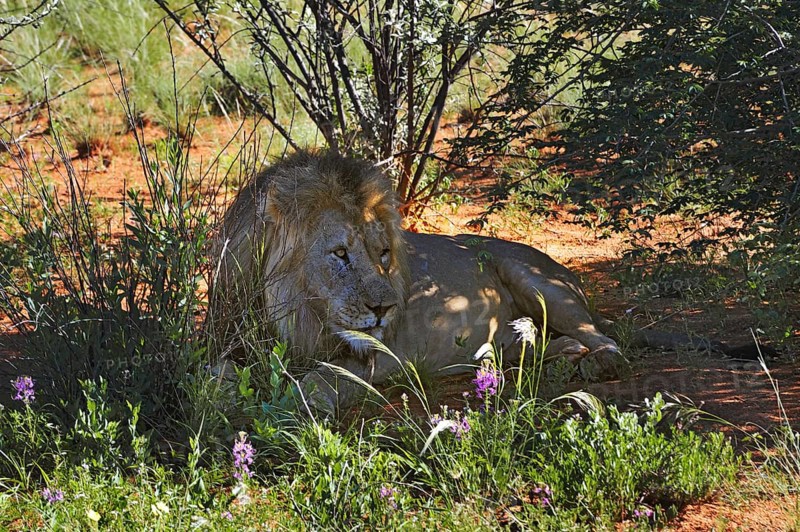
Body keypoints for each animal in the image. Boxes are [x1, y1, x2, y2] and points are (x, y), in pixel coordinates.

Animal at [211, 150, 762, 413]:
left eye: (384, 253)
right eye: (340, 254)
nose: (386, 310)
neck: (303, 316)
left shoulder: (384, 358)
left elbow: (324, 375)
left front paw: (302, 400)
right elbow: (217, 372)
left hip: (539, 281)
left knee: (606, 340)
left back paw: (591, 364)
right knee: (538, 343)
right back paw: (548, 359)